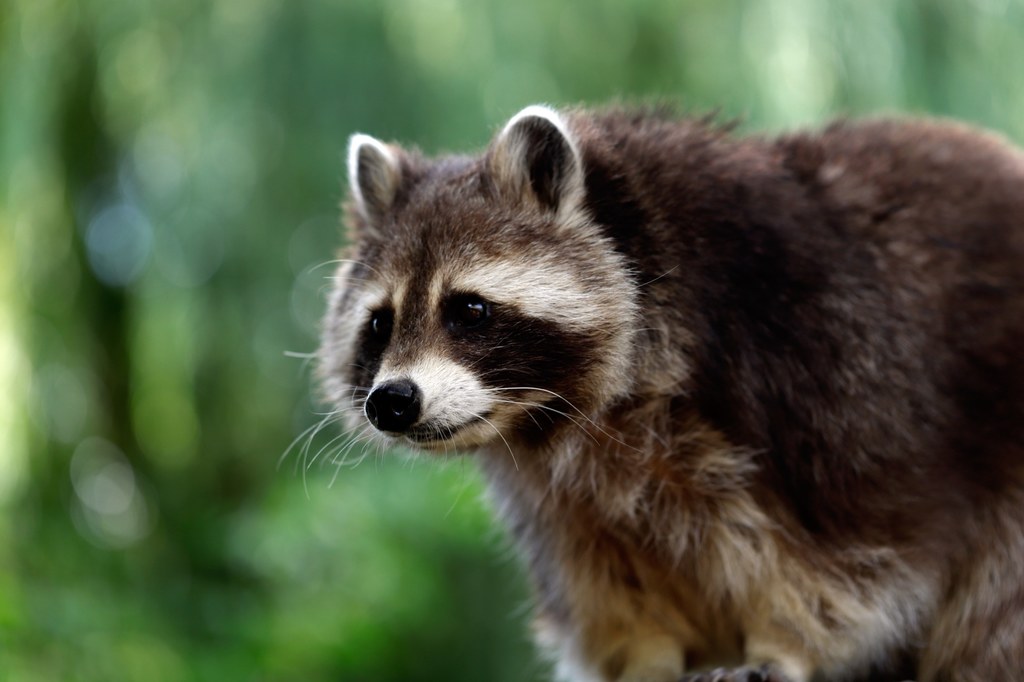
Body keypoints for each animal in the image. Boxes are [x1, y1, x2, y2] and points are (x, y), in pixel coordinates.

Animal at [317, 104, 1024, 679]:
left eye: (468, 310)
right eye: (380, 323)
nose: (392, 401)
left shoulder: (829, 371)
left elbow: (856, 558)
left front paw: (785, 645)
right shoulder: (558, 495)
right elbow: (608, 582)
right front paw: (645, 657)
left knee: (992, 613)